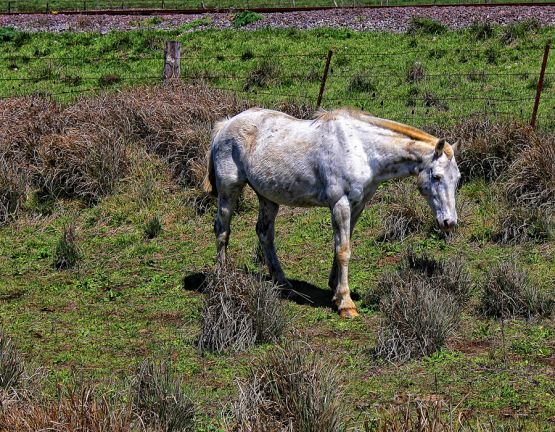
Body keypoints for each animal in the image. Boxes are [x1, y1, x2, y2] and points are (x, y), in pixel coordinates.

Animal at [204, 108, 460, 318]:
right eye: (437, 176)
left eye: (457, 179)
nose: (449, 222)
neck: (363, 149)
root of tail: (225, 125)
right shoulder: (340, 204)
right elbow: (344, 251)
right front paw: (346, 303)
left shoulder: (358, 205)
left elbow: (341, 246)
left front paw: (335, 289)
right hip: (229, 191)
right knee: (222, 230)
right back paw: (223, 278)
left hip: (267, 197)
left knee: (264, 234)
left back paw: (282, 283)